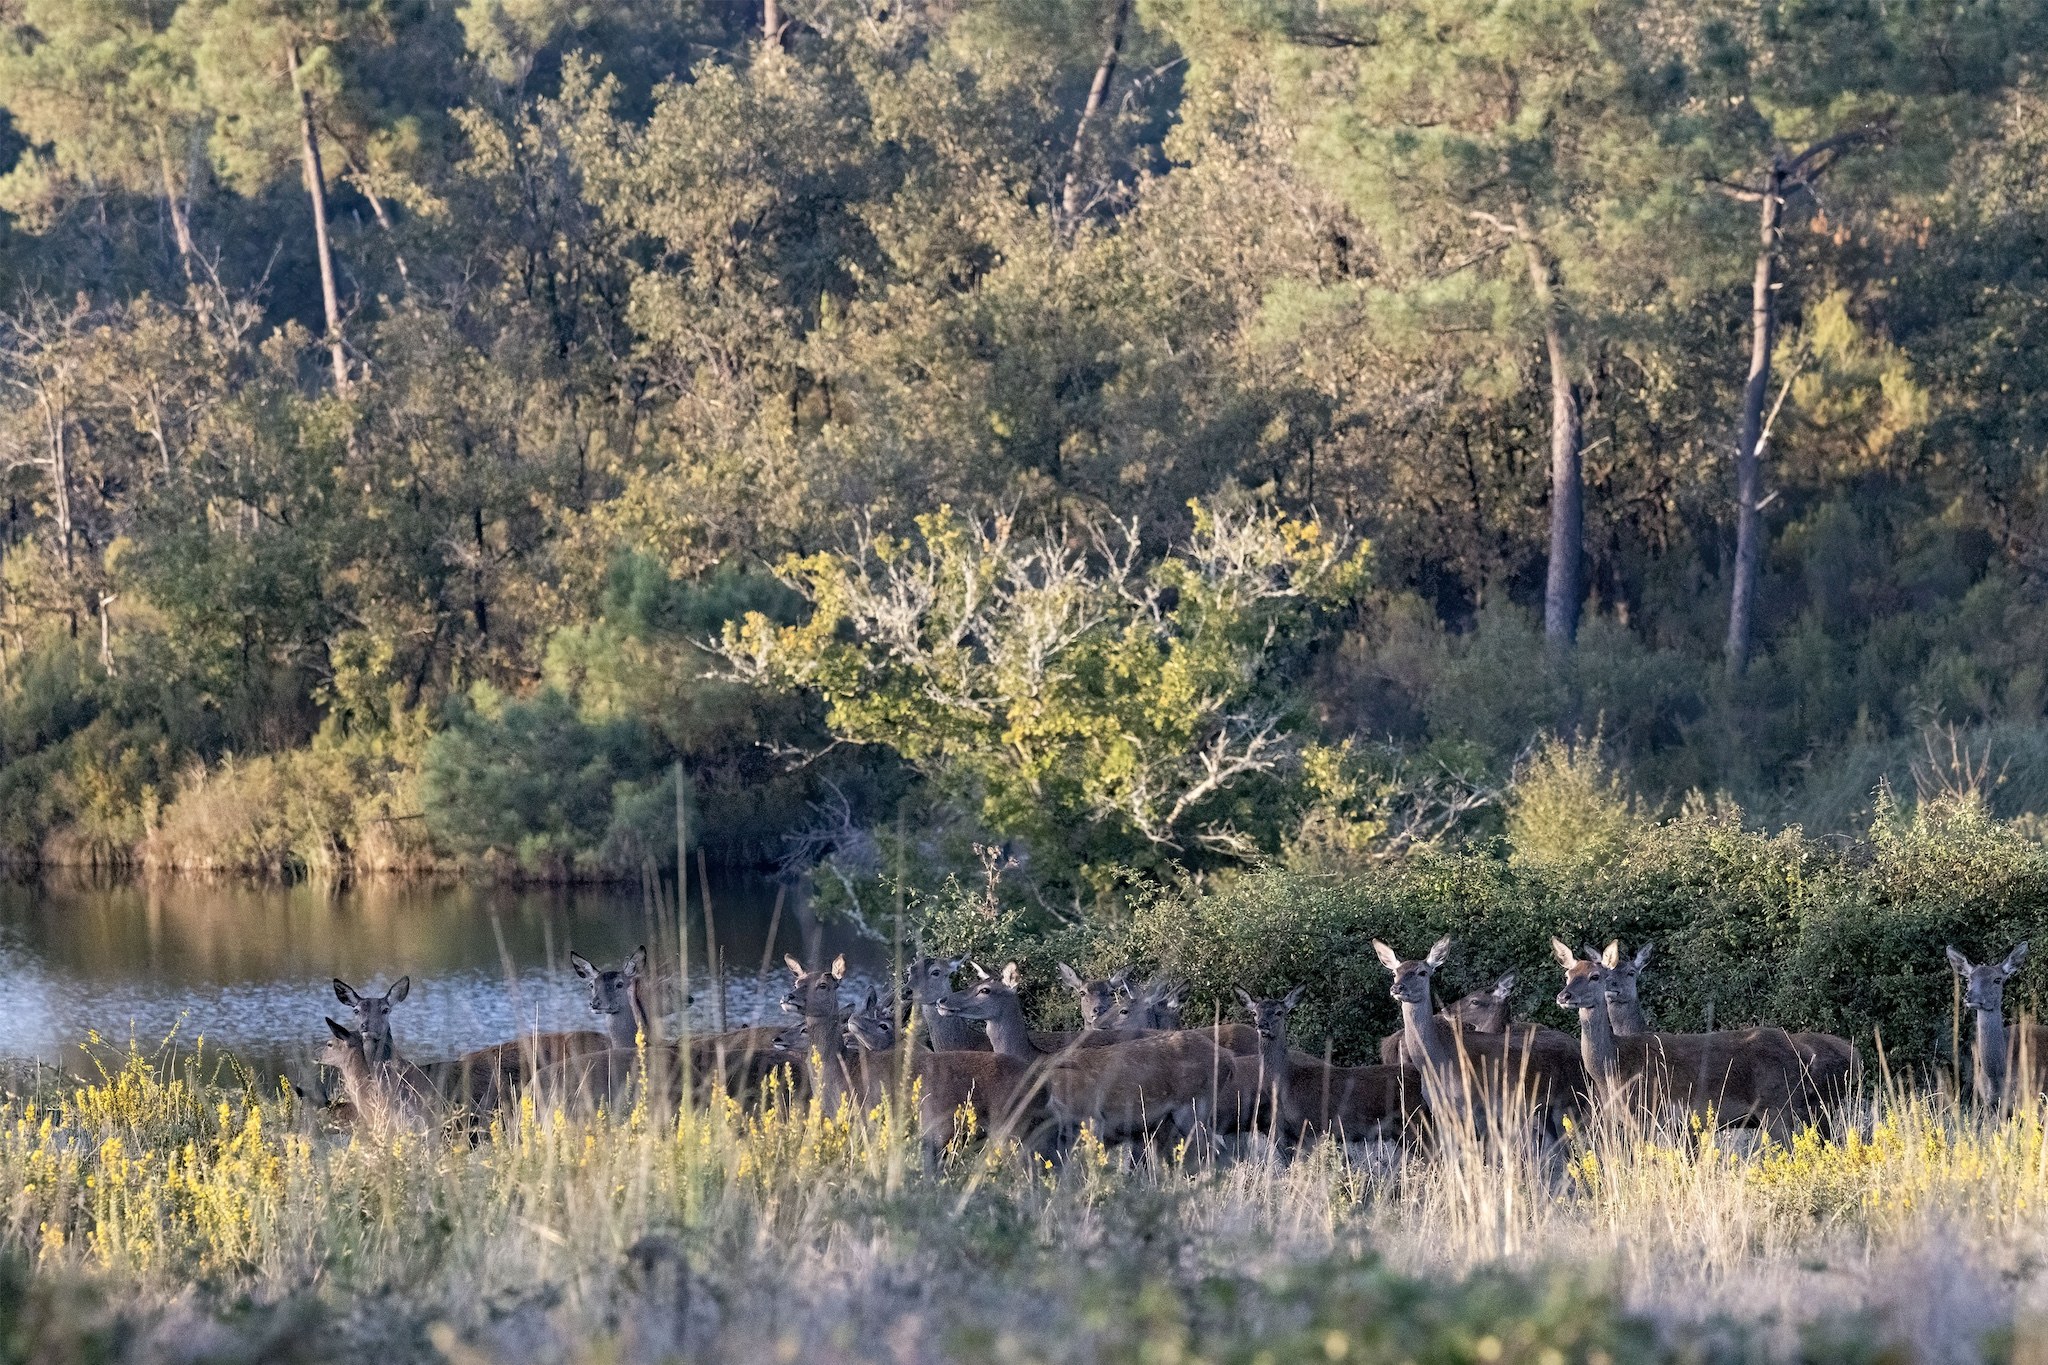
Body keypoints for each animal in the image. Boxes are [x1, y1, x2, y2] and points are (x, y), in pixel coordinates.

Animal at [937, 962, 1233, 1152]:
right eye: (975, 983)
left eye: (985, 990)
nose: (942, 1001)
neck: (1036, 1060)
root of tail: (1227, 1060)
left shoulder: (1089, 1118)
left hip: (1192, 1108)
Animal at [1373, 939, 1585, 1134]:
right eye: (1395, 973)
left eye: (1422, 972)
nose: (1397, 988)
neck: (1440, 1062)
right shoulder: (1439, 1111)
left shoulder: (1481, 1107)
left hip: (1575, 1098)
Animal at [1550, 939, 1813, 1140]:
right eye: (1568, 974)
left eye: (1595, 976)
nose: (1564, 996)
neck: (1613, 1066)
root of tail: (1802, 1055)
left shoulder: (1647, 1113)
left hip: (1776, 1106)